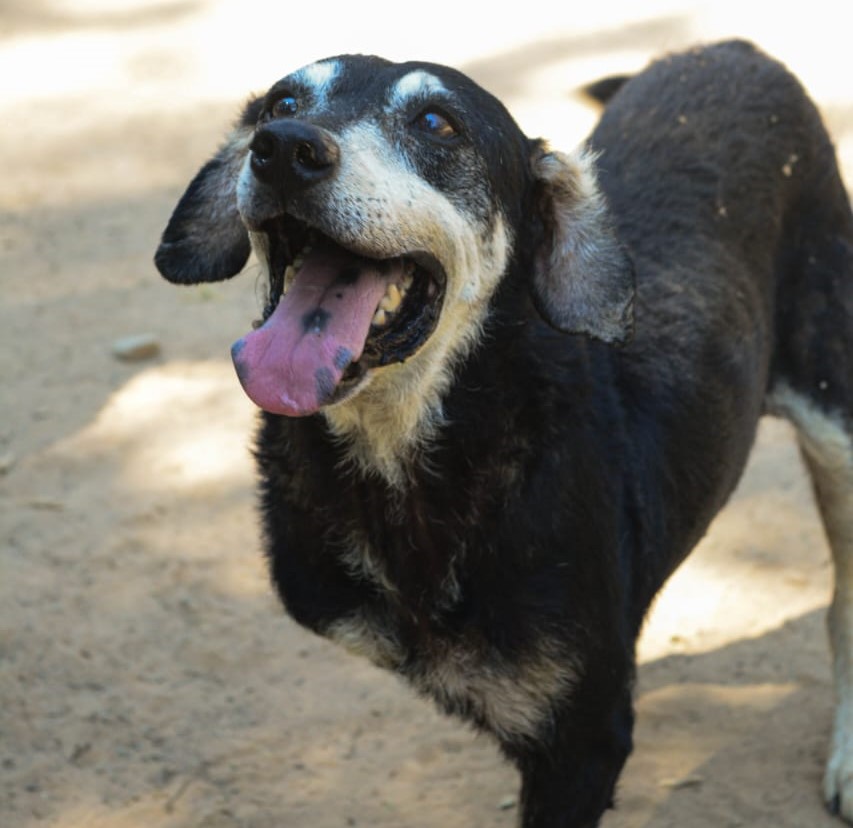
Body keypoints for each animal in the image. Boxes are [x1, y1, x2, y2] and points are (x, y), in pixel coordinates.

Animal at [155, 40, 852, 828]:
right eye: (282, 103)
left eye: (437, 122)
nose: (282, 150)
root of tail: (733, 48)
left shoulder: (582, 741)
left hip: (835, 415)